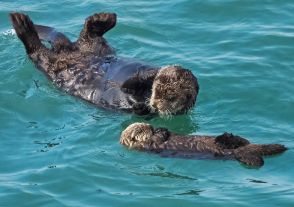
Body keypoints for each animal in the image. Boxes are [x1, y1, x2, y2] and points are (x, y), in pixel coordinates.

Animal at [9, 12, 199, 116]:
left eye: (170, 97)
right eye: (158, 88)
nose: (155, 102)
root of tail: (63, 48)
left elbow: (129, 90)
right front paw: (151, 72)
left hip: (48, 63)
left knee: (36, 51)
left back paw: (22, 24)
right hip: (97, 48)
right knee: (89, 34)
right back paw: (104, 18)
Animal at [120, 123, 288, 167]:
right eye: (141, 129)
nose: (151, 126)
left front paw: (162, 128)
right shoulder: (149, 145)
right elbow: (157, 140)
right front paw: (161, 131)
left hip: (241, 143)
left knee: (242, 140)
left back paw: (225, 137)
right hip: (239, 155)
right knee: (254, 160)